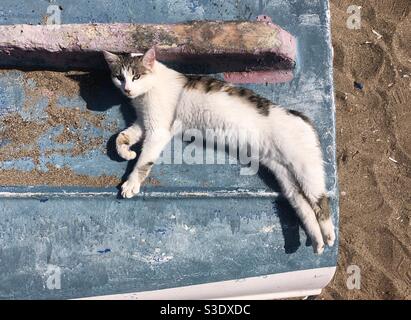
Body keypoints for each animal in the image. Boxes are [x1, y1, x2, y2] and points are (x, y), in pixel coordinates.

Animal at [102, 48, 334, 252]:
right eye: (119, 77)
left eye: (136, 76)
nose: (127, 89)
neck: (147, 92)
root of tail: (302, 117)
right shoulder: (143, 124)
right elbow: (120, 138)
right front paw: (126, 152)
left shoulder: (158, 130)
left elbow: (143, 162)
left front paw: (131, 183)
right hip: (287, 179)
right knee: (305, 208)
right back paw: (317, 242)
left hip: (305, 169)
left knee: (321, 201)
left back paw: (329, 235)